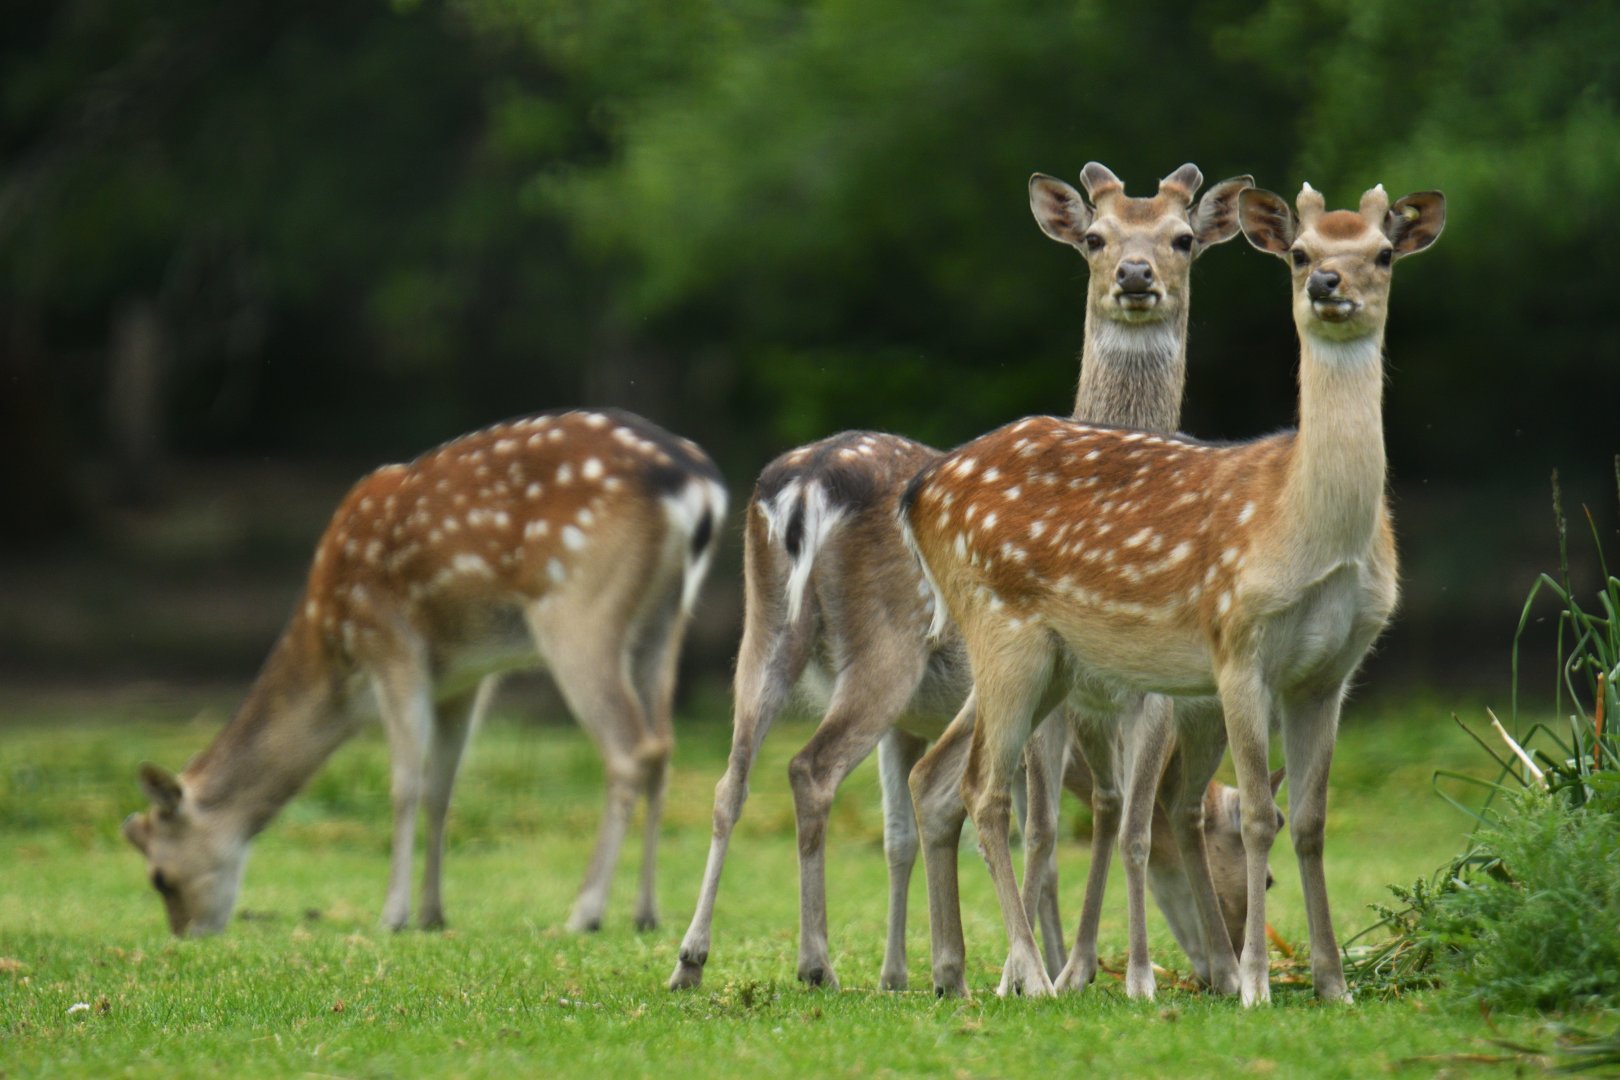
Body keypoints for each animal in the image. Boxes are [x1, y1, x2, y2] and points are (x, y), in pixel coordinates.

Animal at [122, 408, 728, 938]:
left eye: (159, 877)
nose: (186, 933)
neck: (332, 654)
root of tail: (698, 486)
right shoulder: (463, 679)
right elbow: (443, 786)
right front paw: (433, 914)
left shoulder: (387, 642)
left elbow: (405, 782)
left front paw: (392, 915)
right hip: (664, 621)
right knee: (663, 747)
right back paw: (645, 912)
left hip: (577, 606)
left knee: (630, 749)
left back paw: (585, 911)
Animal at [667, 163, 1259, 995]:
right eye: (1095, 237)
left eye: (1182, 239)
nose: (1136, 275)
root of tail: (805, 486)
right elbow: (1066, 824)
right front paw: (1065, 971)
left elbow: (922, 828)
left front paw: (930, 970)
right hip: (888, 650)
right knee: (815, 769)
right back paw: (818, 964)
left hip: (764, 635)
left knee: (731, 780)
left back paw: (692, 958)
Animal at [900, 182, 1444, 1004]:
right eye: (1300, 253)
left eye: (1382, 253)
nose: (1327, 284)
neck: (1309, 530)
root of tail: (921, 490)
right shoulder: (1236, 644)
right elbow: (1253, 815)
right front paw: (1251, 985)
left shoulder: (1332, 671)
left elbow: (1309, 820)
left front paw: (1333, 985)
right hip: (1003, 632)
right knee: (985, 791)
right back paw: (1030, 976)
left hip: (1056, 666)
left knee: (957, 782)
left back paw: (967, 978)